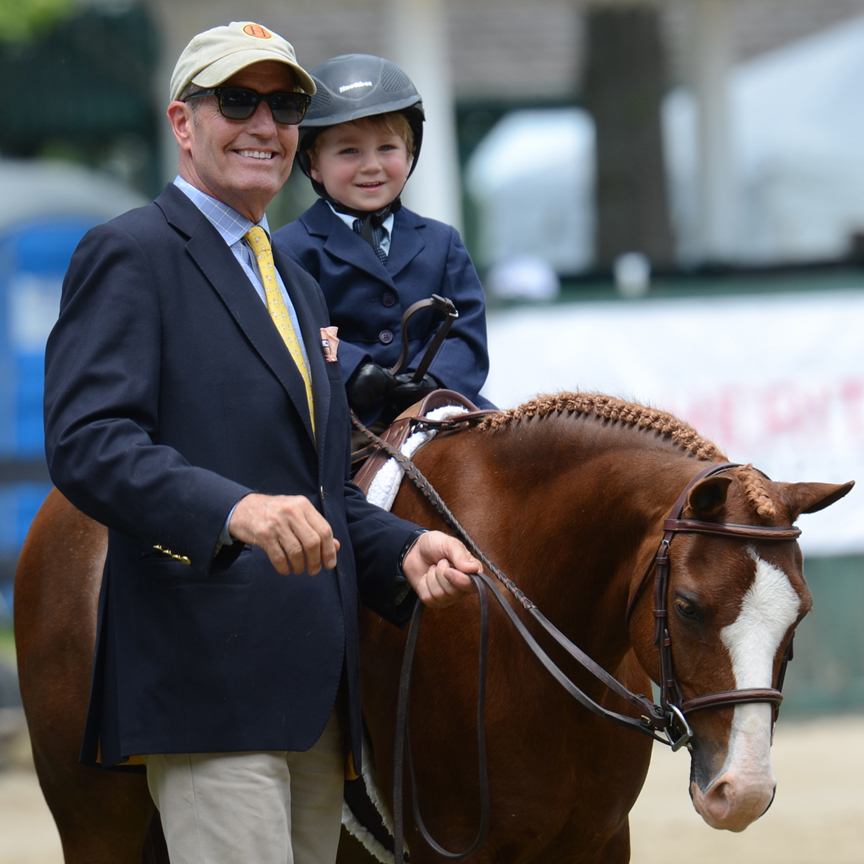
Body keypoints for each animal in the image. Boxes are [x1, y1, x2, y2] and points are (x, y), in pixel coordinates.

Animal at [13, 392, 852, 864]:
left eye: (799, 615)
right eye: (688, 608)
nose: (742, 792)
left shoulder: (595, 843)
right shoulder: (454, 849)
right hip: (98, 826)